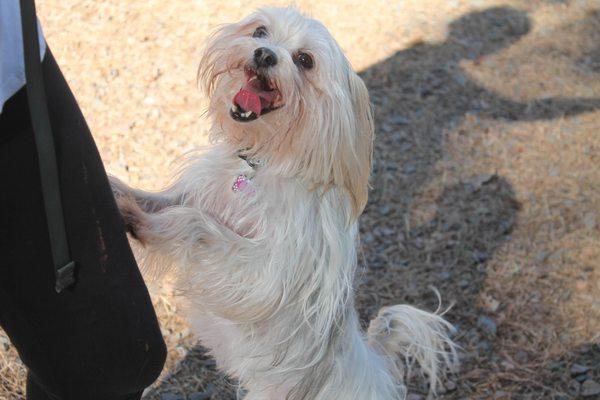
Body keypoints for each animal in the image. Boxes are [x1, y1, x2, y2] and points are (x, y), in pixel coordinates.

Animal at [112, 7, 458, 400]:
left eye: (305, 60)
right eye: (260, 31)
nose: (264, 54)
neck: (260, 163)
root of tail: (377, 367)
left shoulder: (263, 269)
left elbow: (196, 224)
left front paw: (144, 222)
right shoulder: (194, 197)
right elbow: (159, 201)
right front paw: (117, 190)